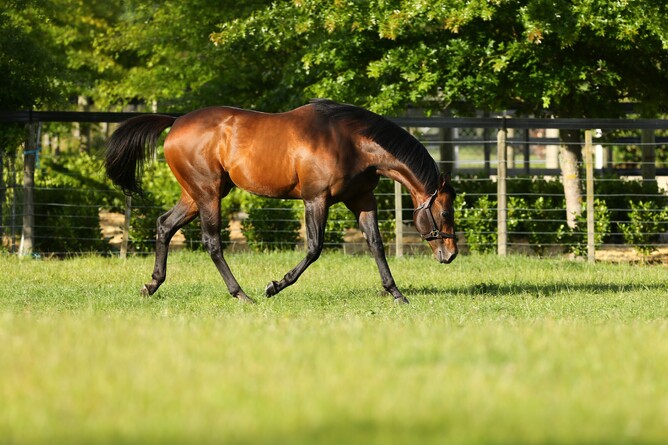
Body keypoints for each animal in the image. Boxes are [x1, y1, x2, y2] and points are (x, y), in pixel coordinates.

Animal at [105, 99, 458, 304]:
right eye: (444, 212)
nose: (450, 254)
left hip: (195, 195)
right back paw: (242, 295)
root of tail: (176, 122)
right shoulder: (316, 200)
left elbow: (376, 245)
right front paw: (275, 286)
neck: (351, 142)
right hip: (208, 194)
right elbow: (313, 249)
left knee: (165, 225)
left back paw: (152, 285)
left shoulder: (361, 199)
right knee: (212, 242)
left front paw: (397, 294)